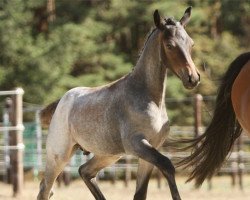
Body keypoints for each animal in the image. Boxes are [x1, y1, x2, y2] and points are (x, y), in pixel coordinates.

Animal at [37, 7, 200, 199]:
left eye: (191, 44)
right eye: (169, 45)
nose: (193, 78)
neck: (149, 98)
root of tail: (63, 100)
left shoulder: (150, 149)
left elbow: (140, 193)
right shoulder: (137, 144)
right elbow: (167, 164)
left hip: (108, 154)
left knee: (85, 171)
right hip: (59, 155)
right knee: (45, 188)